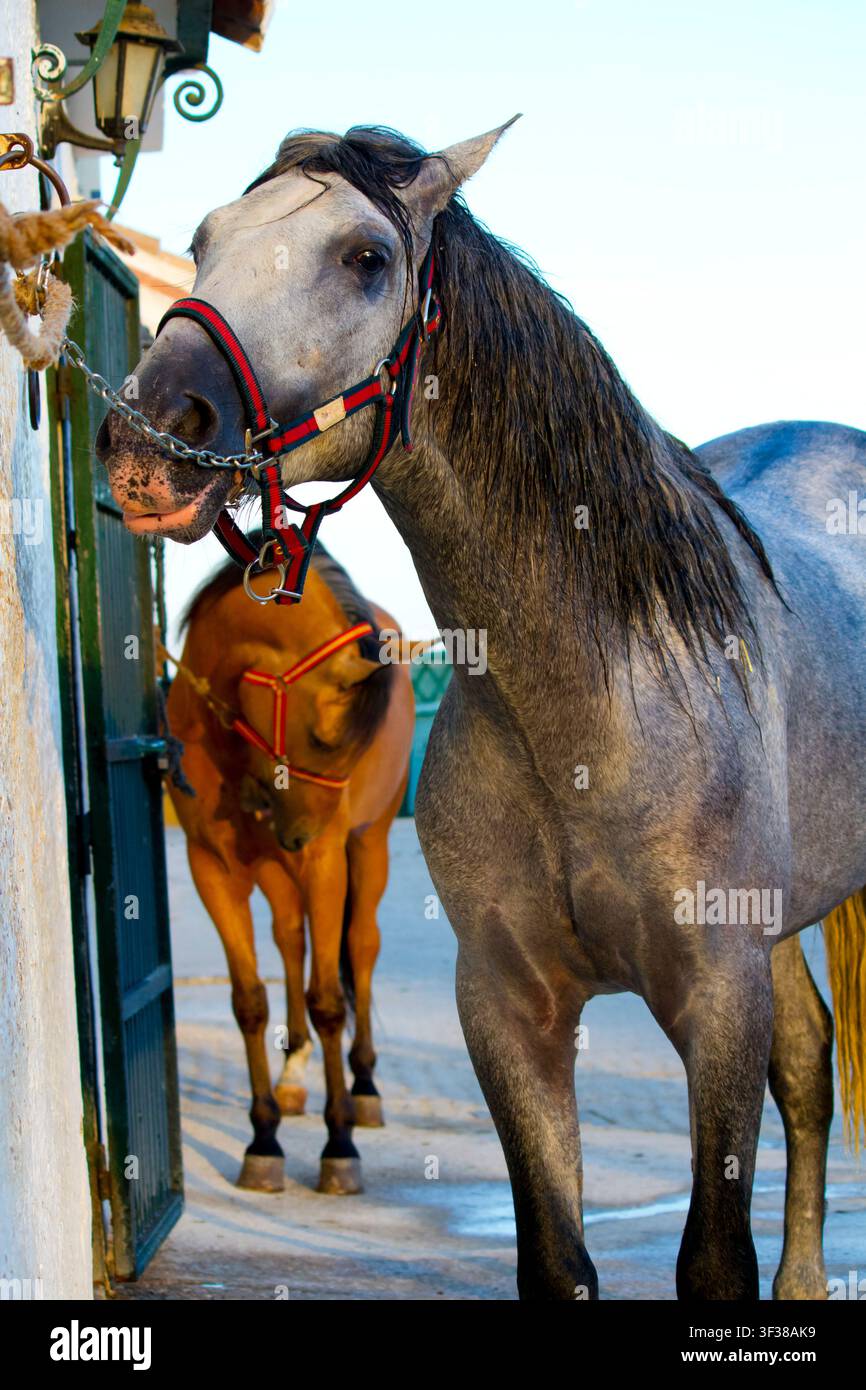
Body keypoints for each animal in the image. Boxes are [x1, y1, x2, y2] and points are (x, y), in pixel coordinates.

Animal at [164, 544, 414, 1195]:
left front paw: (339, 1144)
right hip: (279, 869)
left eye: (355, 745)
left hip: (366, 846)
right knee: (290, 939)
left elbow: (329, 1001)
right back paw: (294, 1072)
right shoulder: (211, 866)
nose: (300, 834)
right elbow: (250, 1001)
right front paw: (264, 1138)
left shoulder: (324, 863)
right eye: (323, 738)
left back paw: (364, 1086)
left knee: (361, 946)